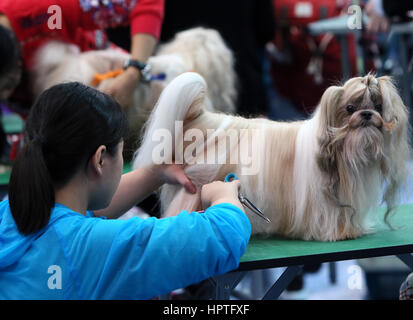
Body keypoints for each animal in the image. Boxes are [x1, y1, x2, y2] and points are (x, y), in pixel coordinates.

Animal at [134, 72, 410, 241]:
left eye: (377, 106)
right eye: (350, 108)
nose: (367, 114)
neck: (343, 150)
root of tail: (204, 120)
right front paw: (338, 233)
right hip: (197, 188)